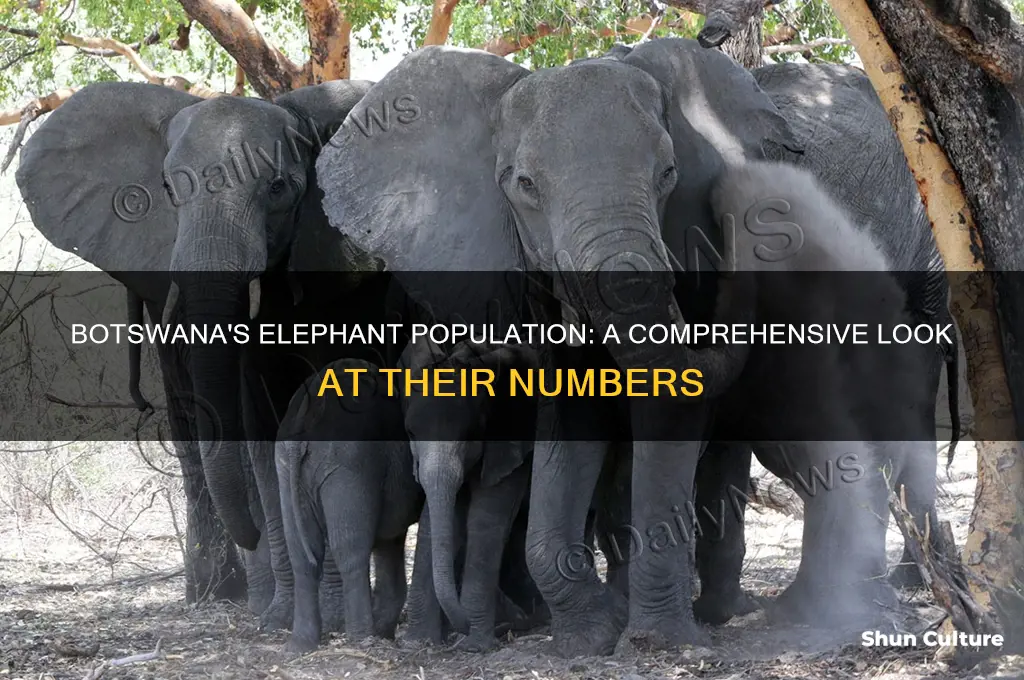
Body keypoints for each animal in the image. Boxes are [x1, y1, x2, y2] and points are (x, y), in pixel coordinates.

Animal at [14, 79, 398, 622]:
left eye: (278, 189)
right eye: (169, 190)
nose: (251, 537)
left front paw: (327, 614)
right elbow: (260, 423)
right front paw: (282, 617)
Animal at [314, 38, 954, 657]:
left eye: (669, 173)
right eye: (524, 186)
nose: (742, 204)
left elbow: (673, 408)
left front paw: (655, 642)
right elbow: (571, 414)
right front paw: (590, 636)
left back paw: (846, 609)